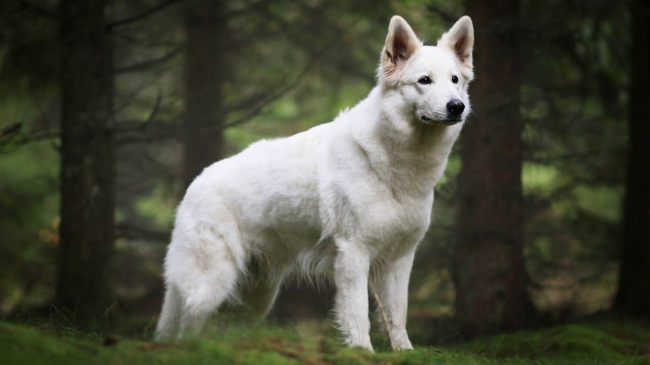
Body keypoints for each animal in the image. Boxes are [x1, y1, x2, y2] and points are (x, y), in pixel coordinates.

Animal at [155, 14, 474, 350]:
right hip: (212, 282)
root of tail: (195, 183)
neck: (395, 164)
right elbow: (358, 315)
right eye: (424, 80)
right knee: (189, 325)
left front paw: (404, 352)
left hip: (257, 295)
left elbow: (397, 315)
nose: (457, 107)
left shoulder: (399, 259)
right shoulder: (353, 254)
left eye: (454, 80)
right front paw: (362, 352)